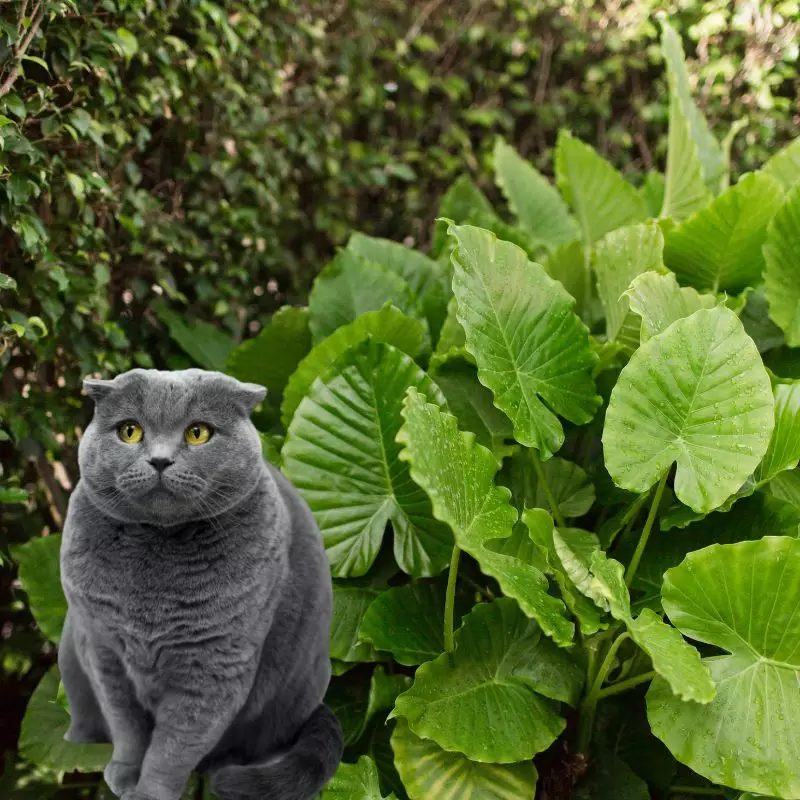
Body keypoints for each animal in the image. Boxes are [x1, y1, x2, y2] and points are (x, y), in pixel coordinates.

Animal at [57, 368, 342, 800]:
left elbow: (173, 747)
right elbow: (127, 726)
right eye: (129, 431)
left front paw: (148, 793)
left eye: (197, 433)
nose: (159, 459)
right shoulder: (104, 651)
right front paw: (124, 773)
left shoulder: (213, 664)